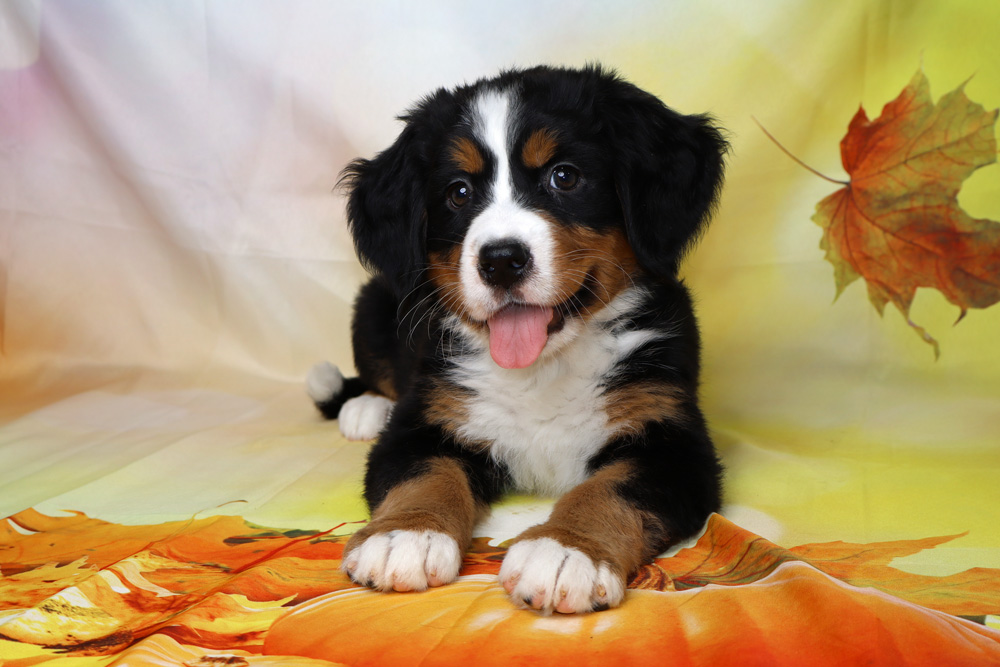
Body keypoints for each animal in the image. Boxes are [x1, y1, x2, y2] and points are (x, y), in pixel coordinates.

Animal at [307, 65, 727, 614]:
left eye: (564, 176)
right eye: (459, 192)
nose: (502, 259)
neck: (543, 369)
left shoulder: (674, 443)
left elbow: (612, 489)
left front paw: (566, 549)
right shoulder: (426, 419)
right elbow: (425, 474)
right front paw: (405, 536)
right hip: (376, 302)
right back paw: (367, 407)